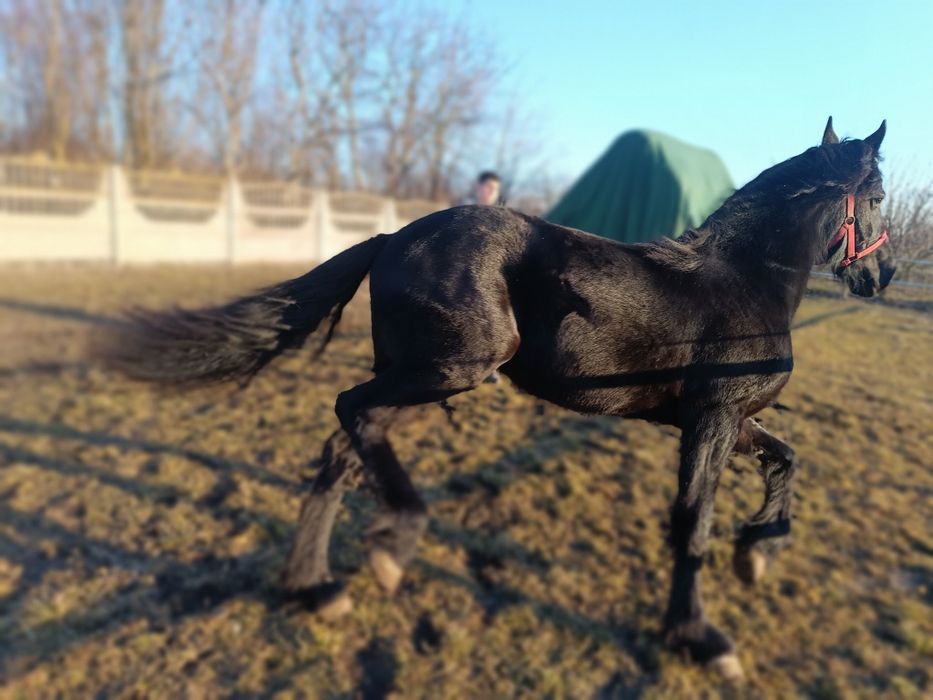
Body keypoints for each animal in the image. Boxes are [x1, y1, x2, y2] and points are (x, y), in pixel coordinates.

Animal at [100, 118, 896, 681]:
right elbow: (691, 523)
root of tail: (391, 236)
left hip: (424, 371)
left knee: (341, 449)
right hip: (450, 367)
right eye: (881, 197)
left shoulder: (723, 419)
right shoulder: (711, 420)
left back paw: (314, 586)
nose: (882, 276)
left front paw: (758, 554)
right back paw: (392, 544)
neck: (741, 283)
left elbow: (787, 458)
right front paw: (700, 637)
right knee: (349, 413)